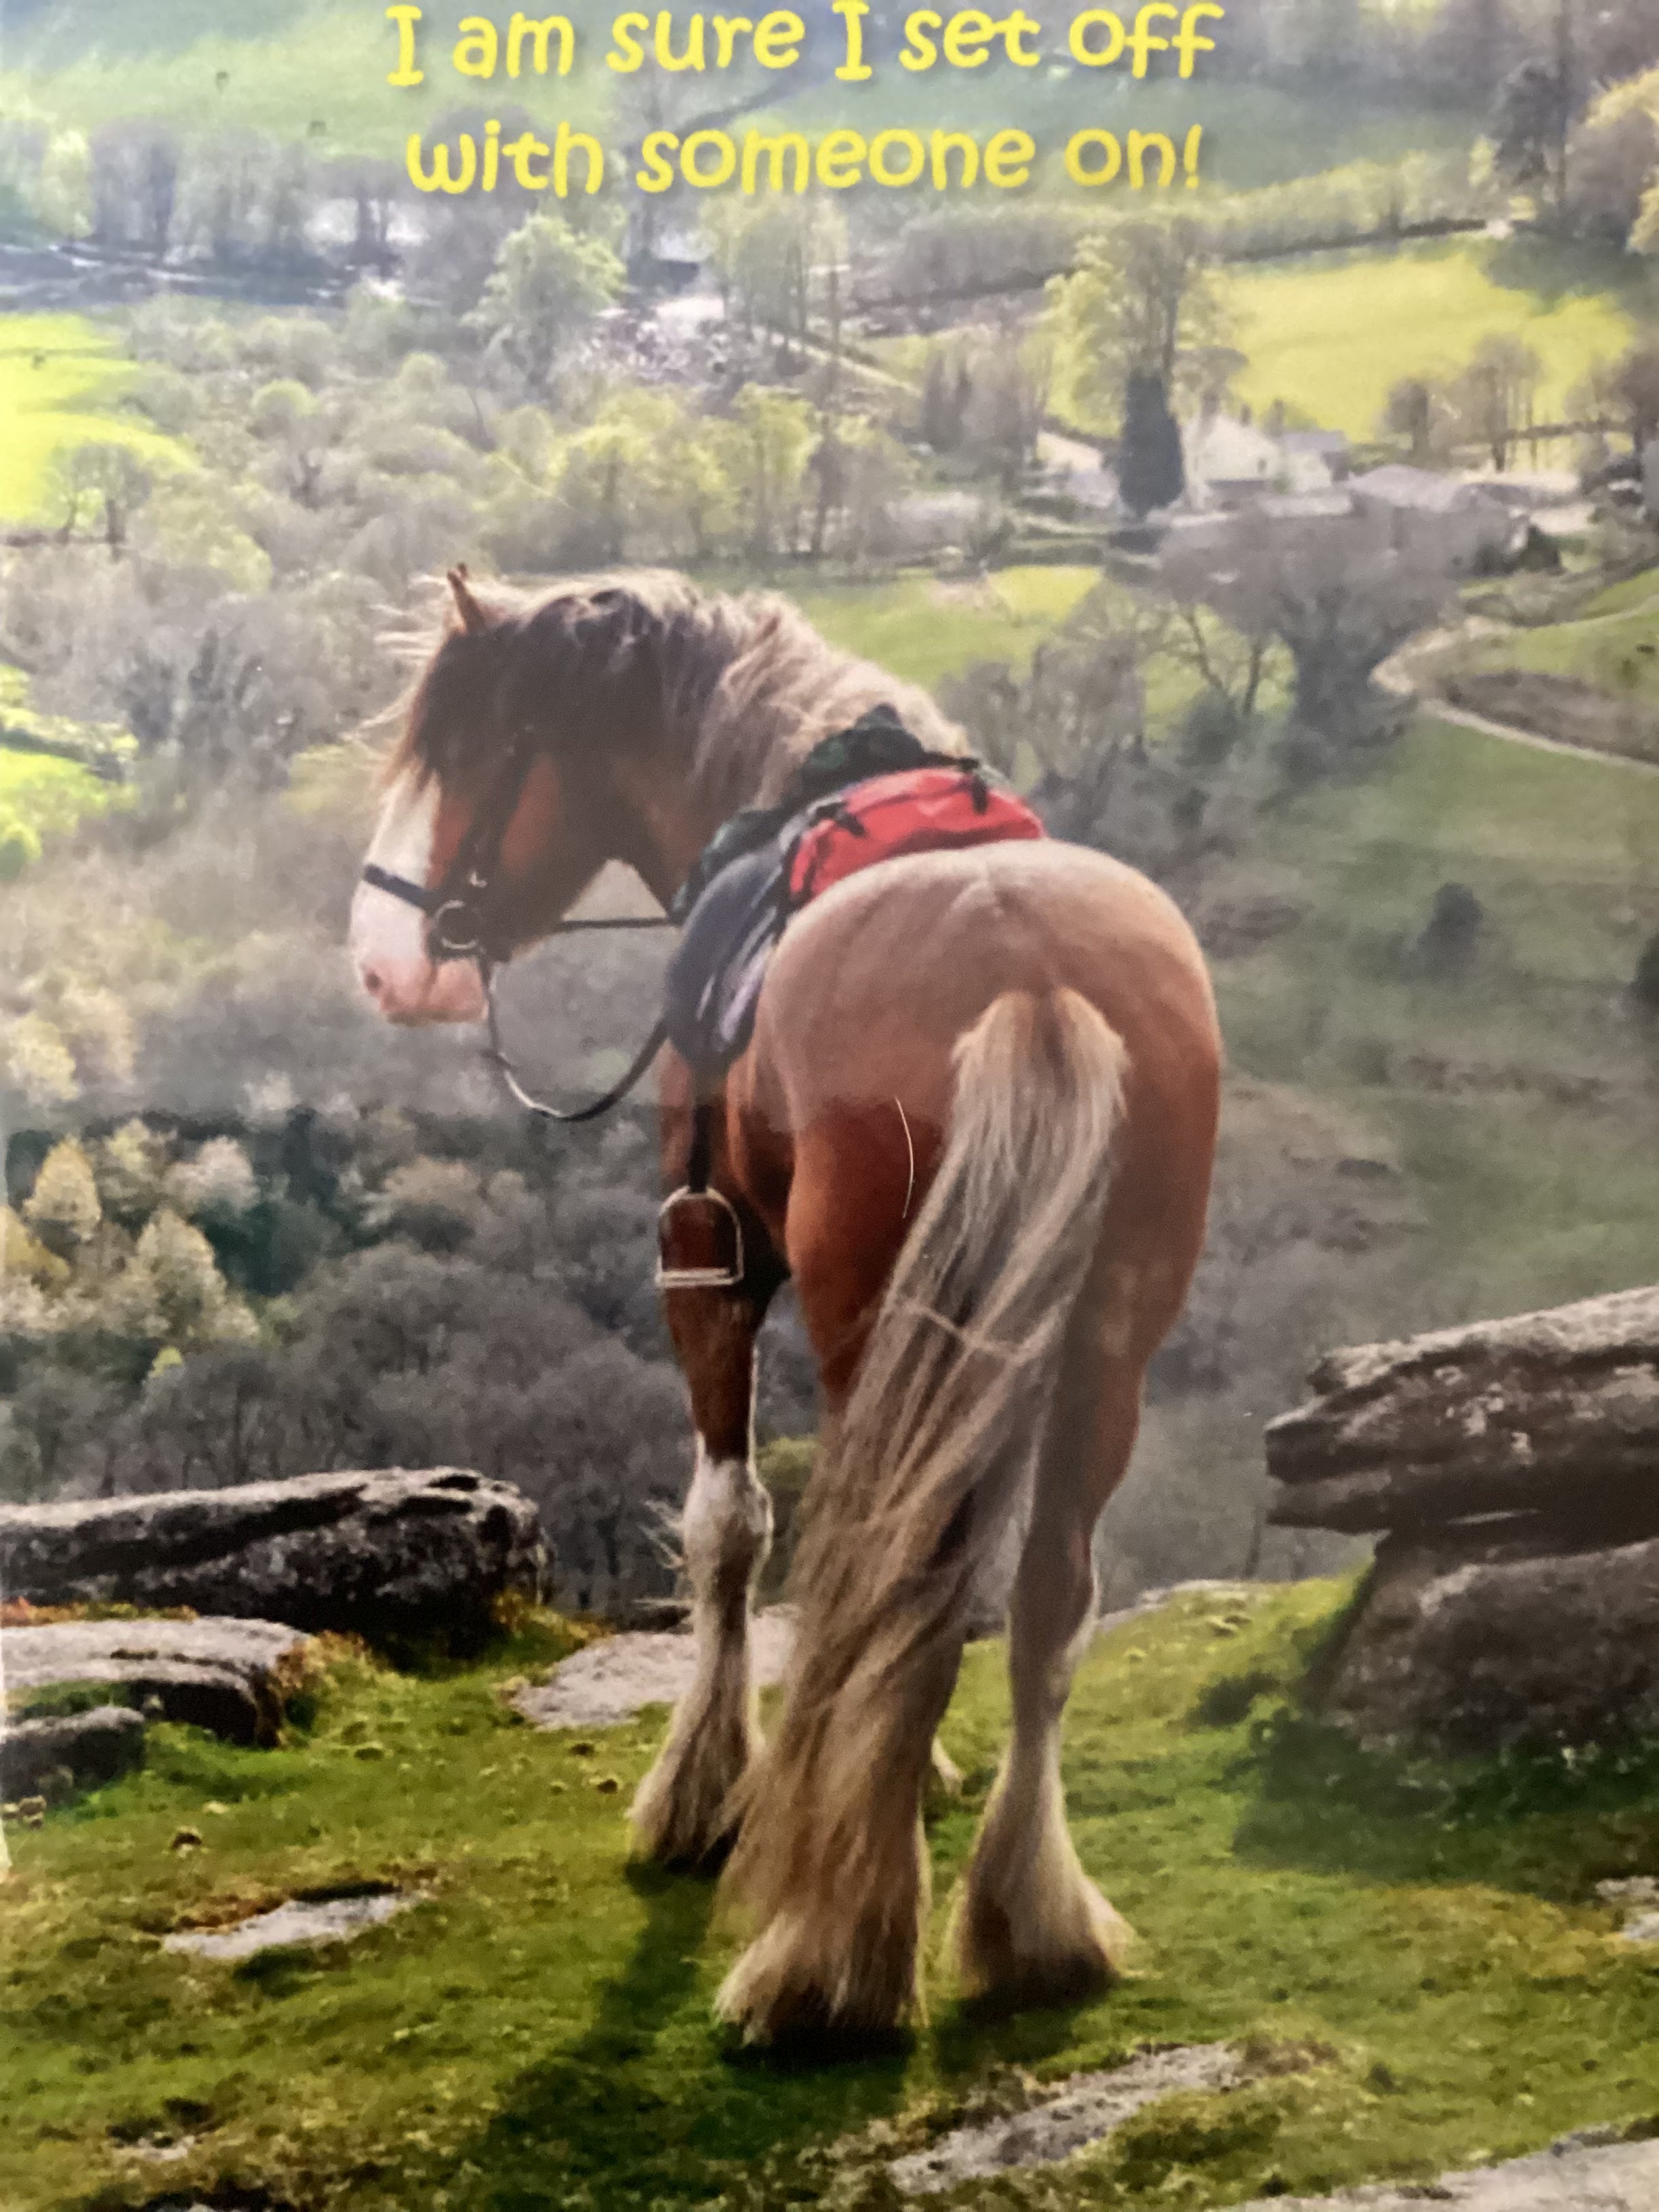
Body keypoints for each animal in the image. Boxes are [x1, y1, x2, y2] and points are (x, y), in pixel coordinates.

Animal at [348, 567, 1221, 2044]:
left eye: (463, 752)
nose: (379, 962)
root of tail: (1031, 976)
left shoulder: (707, 1258)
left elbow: (732, 1526)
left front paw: (703, 1791)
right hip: (1108, 1339)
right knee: (1041, 1593)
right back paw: (1026, 1919)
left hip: (870, 1310)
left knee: (892, 1565)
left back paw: (826, 1958)